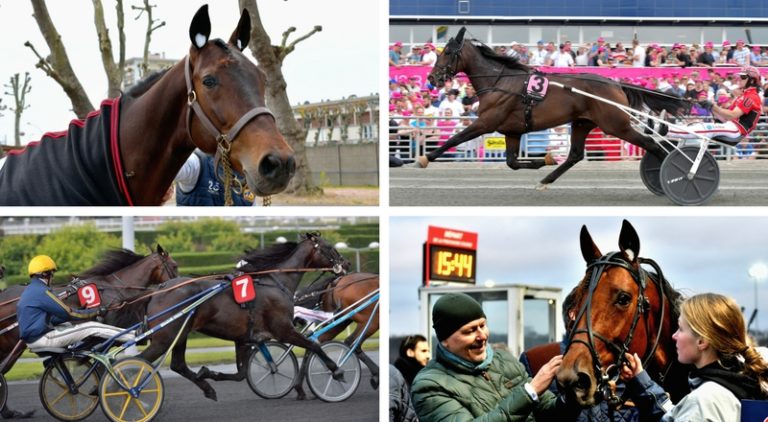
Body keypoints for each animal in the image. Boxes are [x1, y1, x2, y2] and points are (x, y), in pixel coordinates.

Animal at [0, 246, 177, 420]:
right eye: (175, 266)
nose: (177, 283)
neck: (114, 287)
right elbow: (103, 356)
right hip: (15, 346)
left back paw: (10, 412)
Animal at [140, 234, 350, 402]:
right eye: (329, 247)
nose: (346, 264)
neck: (274, 283)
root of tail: (158, 290)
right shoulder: (284, 330)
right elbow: (314, 346)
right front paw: (337, 371)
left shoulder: (244, 338)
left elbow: (241, 373)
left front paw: (208, 373)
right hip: (165, 338)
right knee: (142, 361)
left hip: (180, 335)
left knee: (178, 365)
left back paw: (207, 389)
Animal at [424, 26, 692, 190]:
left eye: (447, 52)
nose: (432, 78)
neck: (499, 82)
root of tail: (615, 83)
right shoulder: (512, 131)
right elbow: (512, 162)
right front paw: (546, 159)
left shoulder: (486, 122)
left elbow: (455, 139)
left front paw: (425, 158)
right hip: (583, 122)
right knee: (575, 155)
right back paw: (546, 178)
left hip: (616, 125)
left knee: (651, 144)